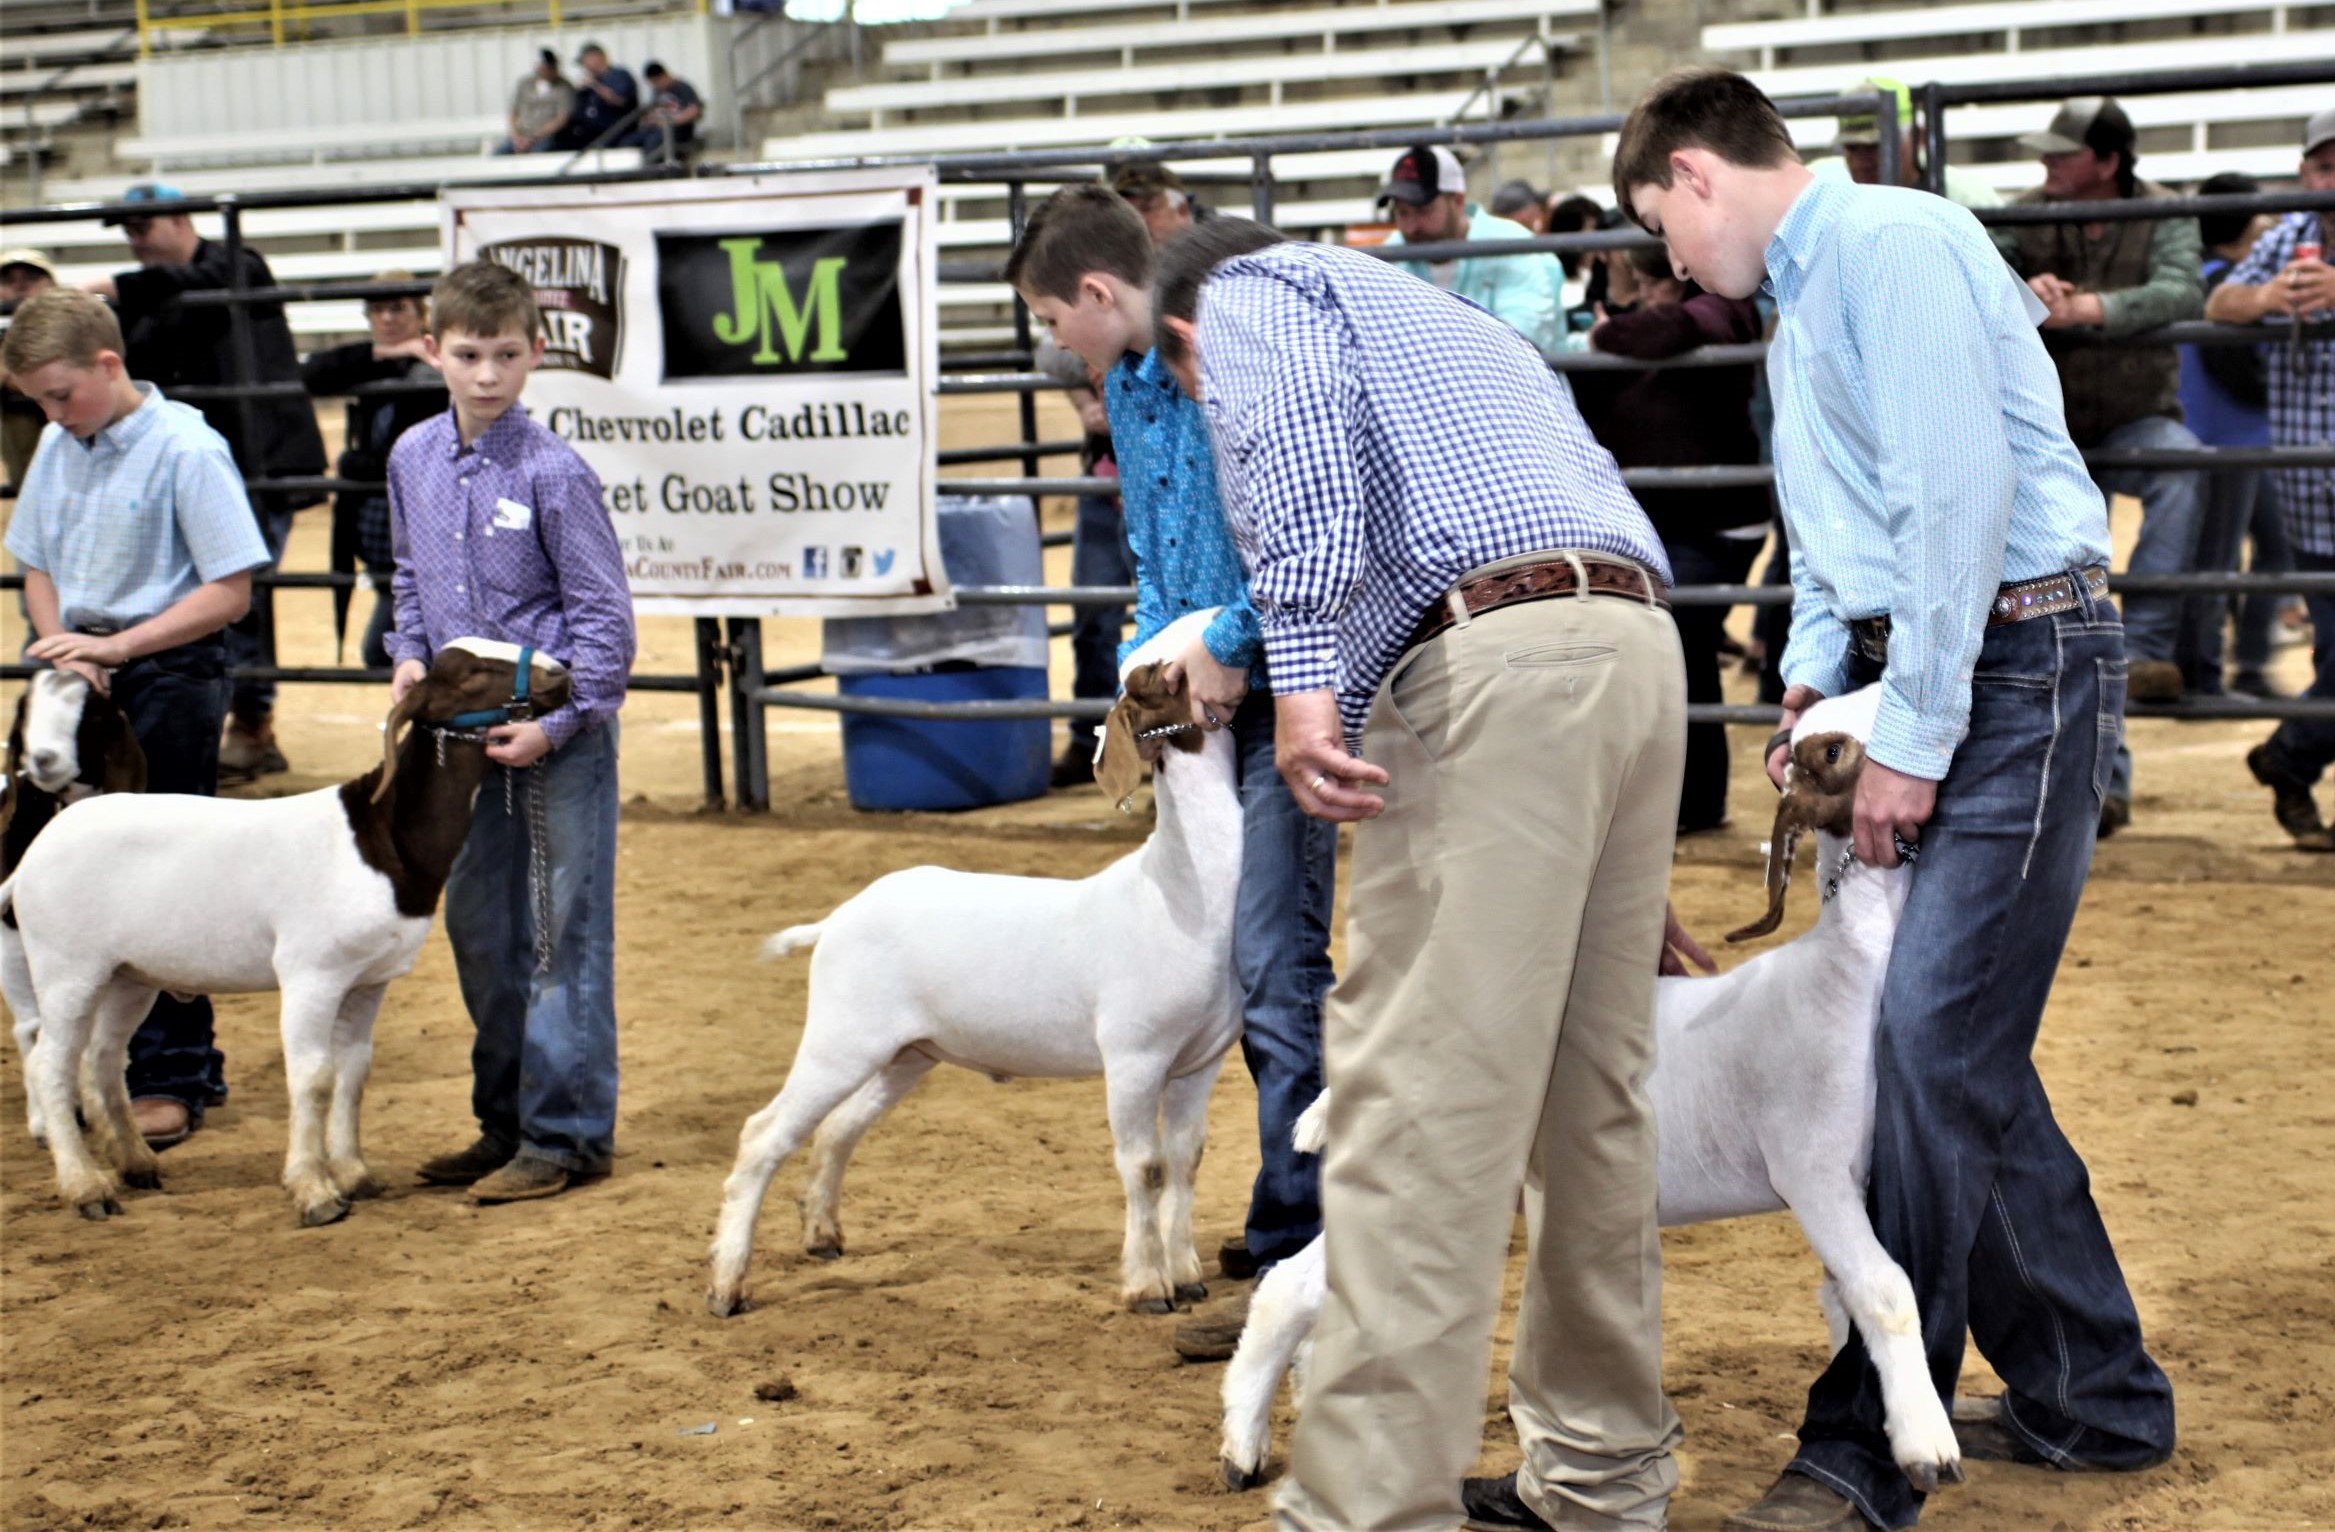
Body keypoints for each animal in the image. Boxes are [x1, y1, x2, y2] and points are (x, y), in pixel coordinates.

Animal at [3, 663, 148, 1144]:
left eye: (94, 716)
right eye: (26, 709)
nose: (44, 758)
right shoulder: (11, 936)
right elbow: (32, 1028)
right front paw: (43, 1122)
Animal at [709, 607, 1251, 1317]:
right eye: (1158, 673)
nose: (1221, 619)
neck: (1179, 888)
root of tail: (836, 919)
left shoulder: (1198, 1059)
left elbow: (1187, 1160)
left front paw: (1186, 1274)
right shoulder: (1135, 1056)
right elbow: (1146, 1168)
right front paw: (1147, 1285)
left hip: (906, 1051)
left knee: (835, 1130)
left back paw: (821, 1233)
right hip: (839, 1037)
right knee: (762, 1135)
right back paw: (727, 1283)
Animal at [1214, 686, 1961, 1503]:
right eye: (1831, 752)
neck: (1845, 974)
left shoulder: (1854, 1179)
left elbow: (1843, 1305)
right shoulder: (1811, 1172)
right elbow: (1886, 1293)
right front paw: (1927, 1446)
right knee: (1290, 1289)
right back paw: (1245, 1449)